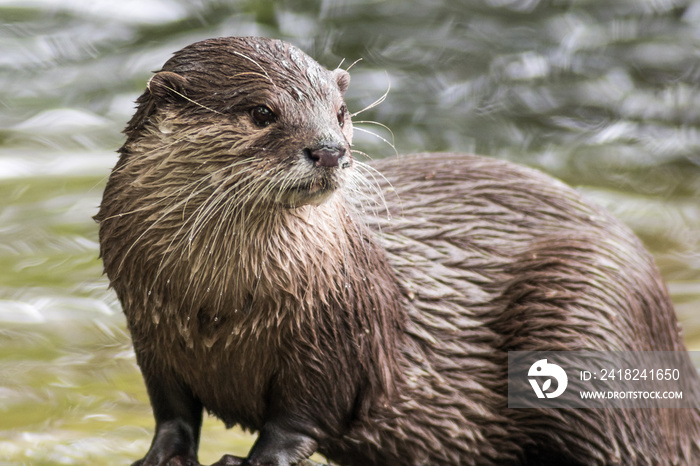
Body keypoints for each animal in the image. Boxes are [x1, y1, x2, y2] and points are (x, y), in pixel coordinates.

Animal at [97, 37, 700, 466]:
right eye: (262, 112)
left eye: (340, 111)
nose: (330, 150)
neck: (216, 304)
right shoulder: (149, 330)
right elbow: (173, 412)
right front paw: (160, 456)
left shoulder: (341, 328)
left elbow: (300, 418)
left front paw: (254, 460)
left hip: (593, 316)